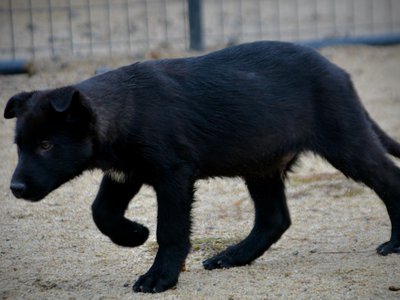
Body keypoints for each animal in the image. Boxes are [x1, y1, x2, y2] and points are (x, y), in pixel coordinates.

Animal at [3, 40, 400, 292]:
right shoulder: (124, 173)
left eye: (46, 145)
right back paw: (232, 257)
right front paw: (134, 235)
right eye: (19, 146)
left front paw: (159, 278)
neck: (122, 109)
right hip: (261, 163)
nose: (15, 189)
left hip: (346, 142)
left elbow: (171, 230)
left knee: (389, 180)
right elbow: (101, 211)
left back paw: (394, 244)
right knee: (275, 219)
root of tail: (339, 72)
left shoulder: (173, 175)